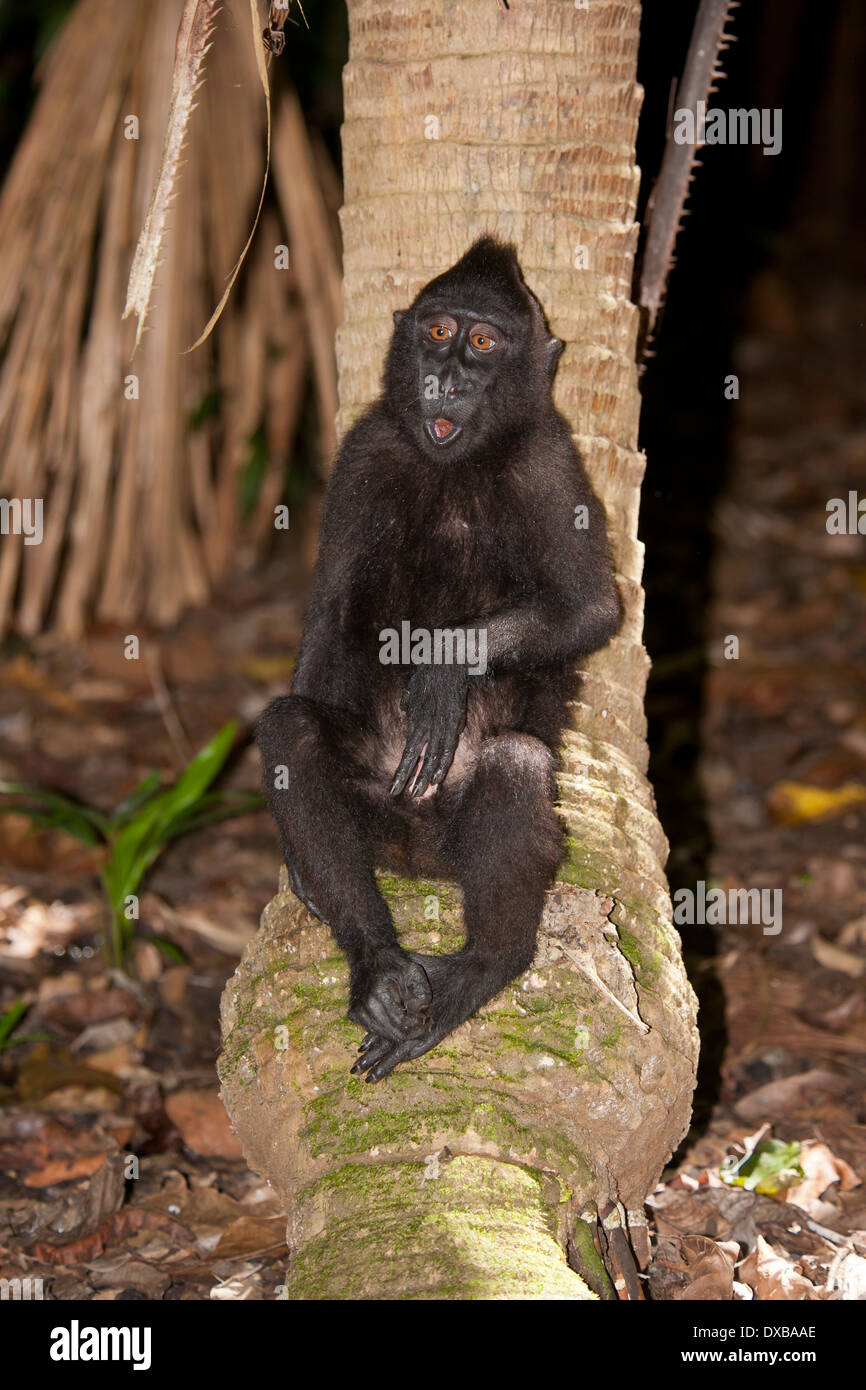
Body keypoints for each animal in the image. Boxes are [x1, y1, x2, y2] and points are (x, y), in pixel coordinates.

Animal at [257, 237, 621, 1082]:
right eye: (436, 331)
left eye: (483, 342)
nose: (444, 379)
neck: (457, 465)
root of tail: (417, 856)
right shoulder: (365, 451)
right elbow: (327, 611)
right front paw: (296, 871)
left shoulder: (552, 459)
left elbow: (592, 609)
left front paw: (445, 670)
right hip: (377, 817)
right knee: (291, 727)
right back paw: (377, 964)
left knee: (518, 762)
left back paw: (481, 967)